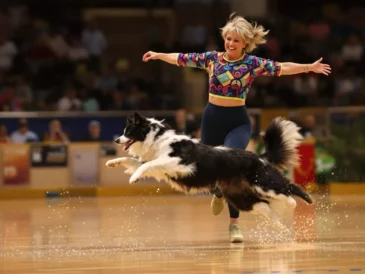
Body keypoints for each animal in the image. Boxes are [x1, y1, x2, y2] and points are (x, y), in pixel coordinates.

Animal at [105, 112, 312, 228]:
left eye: (128, 131)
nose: (116, 140)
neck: (157, 138)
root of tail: (260, 156)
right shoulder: (161, 167)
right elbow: (133, 161)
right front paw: (112, 163)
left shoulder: (178, 162)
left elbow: (145, 165)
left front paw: (133, 178)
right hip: (240, 196)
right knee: (265, 206)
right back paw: (280, 227)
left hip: (262, 182)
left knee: (289, 188)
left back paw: (297, 203)